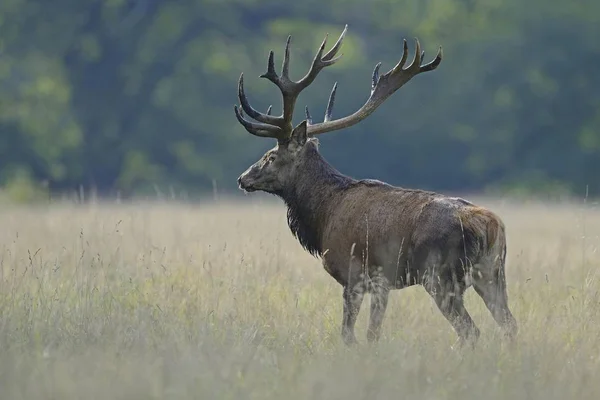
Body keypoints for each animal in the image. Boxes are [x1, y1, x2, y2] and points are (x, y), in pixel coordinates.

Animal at [234, 24, 516, 346]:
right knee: (509, 323)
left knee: (470, 330)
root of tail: (489, 226)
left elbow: (348, 333)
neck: (322, 214)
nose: (243, 178)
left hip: (440, 275)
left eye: (271, 156)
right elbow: (373, 333)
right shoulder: (382, 282)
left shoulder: (353, 272)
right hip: (493, 273)